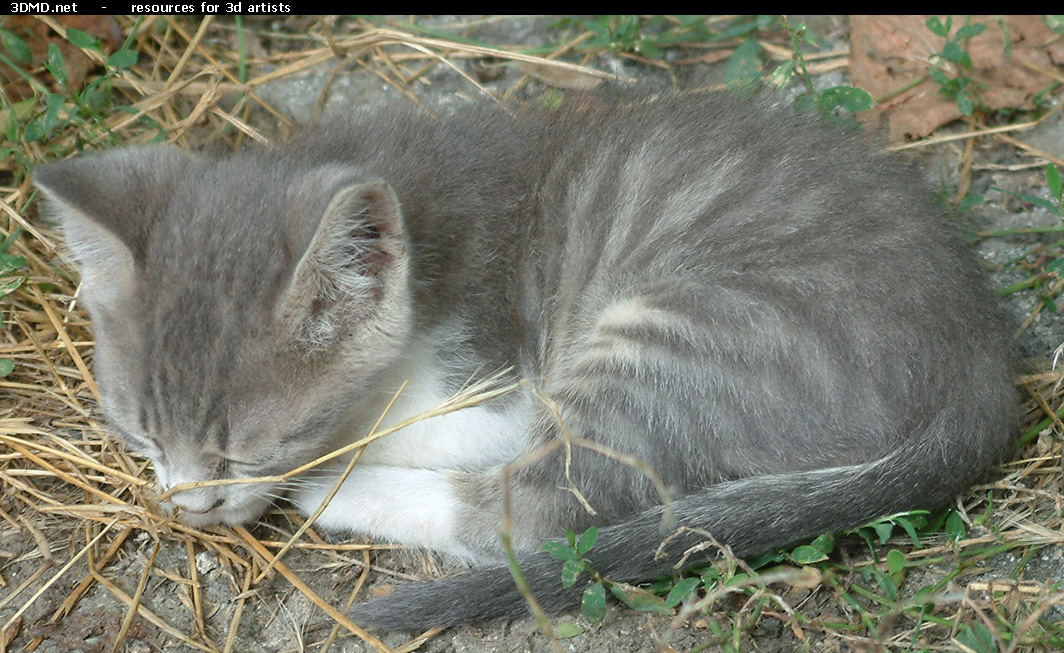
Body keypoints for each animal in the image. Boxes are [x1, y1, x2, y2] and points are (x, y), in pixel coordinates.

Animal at [33, 91, 1012, 629]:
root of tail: (981, 358)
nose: (190, 509)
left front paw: (324, 463)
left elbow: (413, 429)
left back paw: (343, 495)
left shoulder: (506, 375)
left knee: (540, 507)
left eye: (246, 449)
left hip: (680, 335)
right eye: (138, 435)